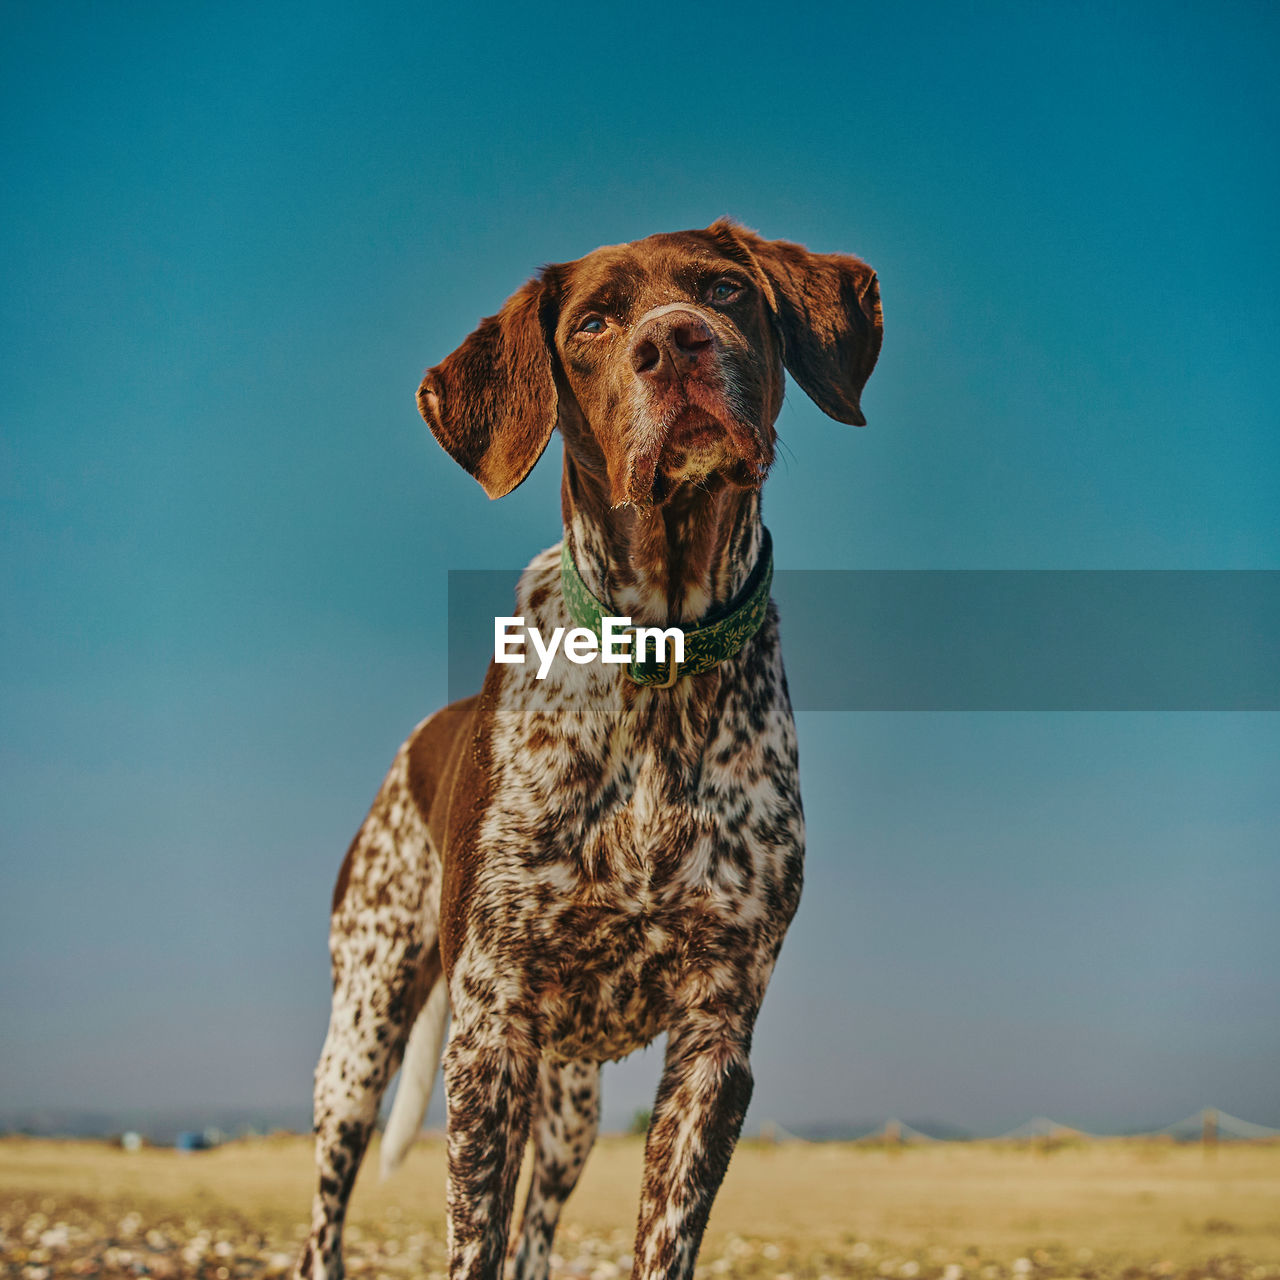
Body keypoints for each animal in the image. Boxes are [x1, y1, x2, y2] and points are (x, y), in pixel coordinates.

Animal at [296, 222, 880, 1280]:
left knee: (536, 1229)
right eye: (594, 325)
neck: (658, 655)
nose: (675, 343)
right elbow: (473, 1244)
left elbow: (662, 1237)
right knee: (326, 1218)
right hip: (361, 1041)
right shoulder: (488, 1033)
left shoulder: (714, 1040)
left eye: (727, 290)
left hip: (568, 1105)